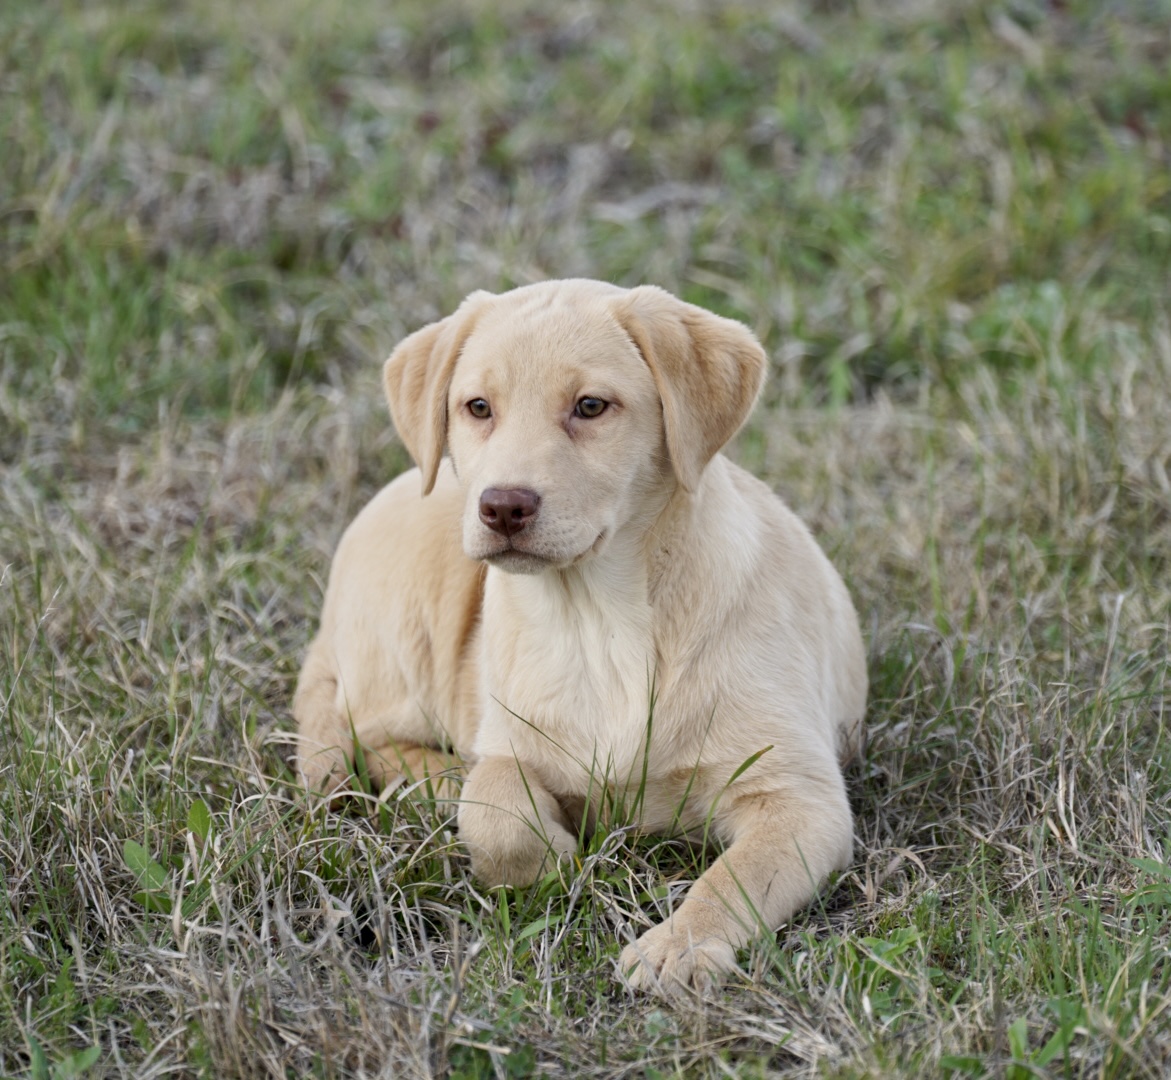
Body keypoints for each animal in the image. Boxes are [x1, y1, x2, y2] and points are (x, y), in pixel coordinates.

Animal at [295, 279, 871, 993]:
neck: (596, 619)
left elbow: (735, 877)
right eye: (477, 407)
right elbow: (492, 805)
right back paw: (440, 781)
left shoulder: (799, 796)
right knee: (372, 739)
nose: (502, 506)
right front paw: (556, 863)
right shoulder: (510, 738)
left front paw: (677, 948)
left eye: (591, 407)